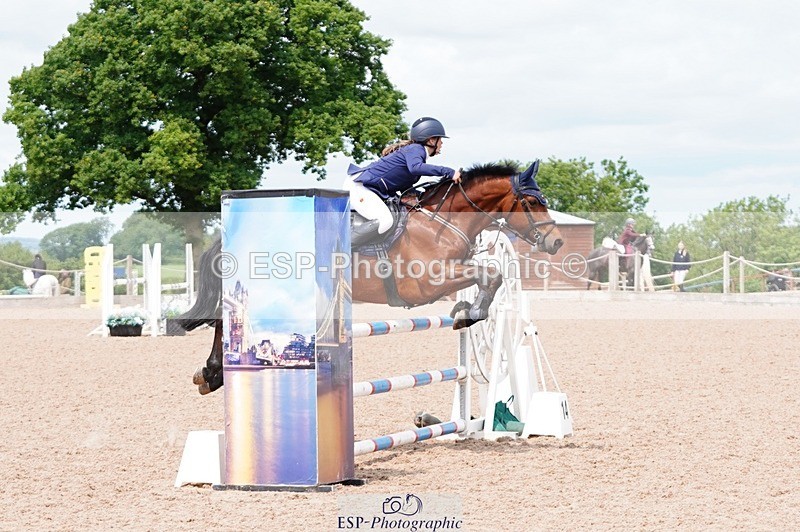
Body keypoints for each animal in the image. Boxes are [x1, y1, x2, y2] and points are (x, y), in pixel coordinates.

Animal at [176, 161, 564, 394]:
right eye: (532, 202)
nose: (557, 241)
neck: (441, 222)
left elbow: (488, 276)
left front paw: (465, 311)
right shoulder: (426, 284)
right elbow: (491, 273)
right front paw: (471, 314)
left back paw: (214, 374)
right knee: (228, 321)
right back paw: (212, 373)